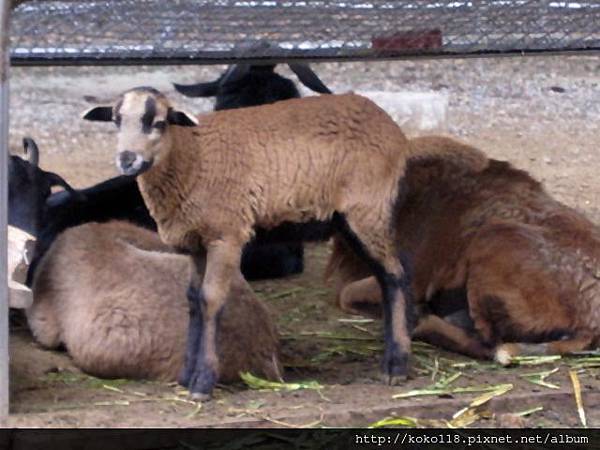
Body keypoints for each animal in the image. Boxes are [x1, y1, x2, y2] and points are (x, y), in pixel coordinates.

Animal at [84, 87, 440, 398]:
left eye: (158, 123)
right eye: (116, 121)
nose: (127, 160)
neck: (192, 155)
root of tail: (389, 124)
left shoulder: (227, 234)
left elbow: (211, 300)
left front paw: (203, 382)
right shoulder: (198, 241)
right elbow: (193, 301)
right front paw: (186, 376)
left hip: (368, 208)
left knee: (396, 274)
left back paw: (397, 365)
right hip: (353, 219)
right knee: (387, 274)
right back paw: (392, 355)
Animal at [326, 136, 600, 366]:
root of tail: (590, 325)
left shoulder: (412, 277)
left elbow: (346, 294)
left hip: (492, 239)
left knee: (488, 343)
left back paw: (422, 320)